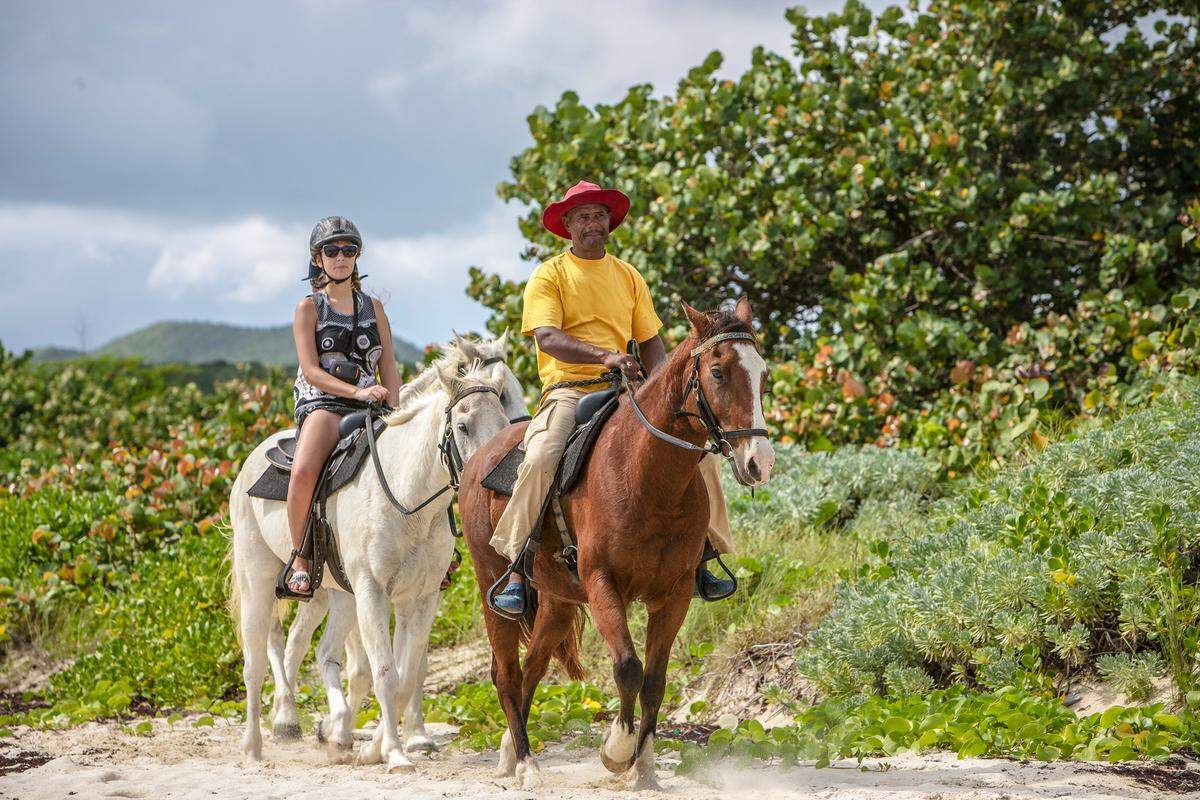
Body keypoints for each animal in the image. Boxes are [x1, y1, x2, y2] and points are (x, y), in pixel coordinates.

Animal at [229, 350, 509, 773]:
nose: (490, 480)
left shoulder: (421, 598)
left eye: (505, 420)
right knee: (257, 663)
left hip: (340, 595)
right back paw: (254, 746)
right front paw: (394, 754)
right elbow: (384, 673)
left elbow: (405, 677)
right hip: (258, 584)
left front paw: (374, 749)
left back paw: (332, 733)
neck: (407, 498)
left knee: (323, 653)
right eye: (462, 425)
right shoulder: (372, 591)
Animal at [459, 297, 775, 789]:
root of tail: (479, 458)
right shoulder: (602, 583)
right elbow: (628, 667)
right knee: (507, 674)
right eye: (718, 372)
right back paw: (528, 765)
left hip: (557, 602)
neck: (647, 476)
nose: (760, 463)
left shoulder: (675, 594)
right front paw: (616, 750)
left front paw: (643, 767)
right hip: (491, 582)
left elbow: (656, 680)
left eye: (763, 375)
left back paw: (513, 752)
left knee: (532, 669)